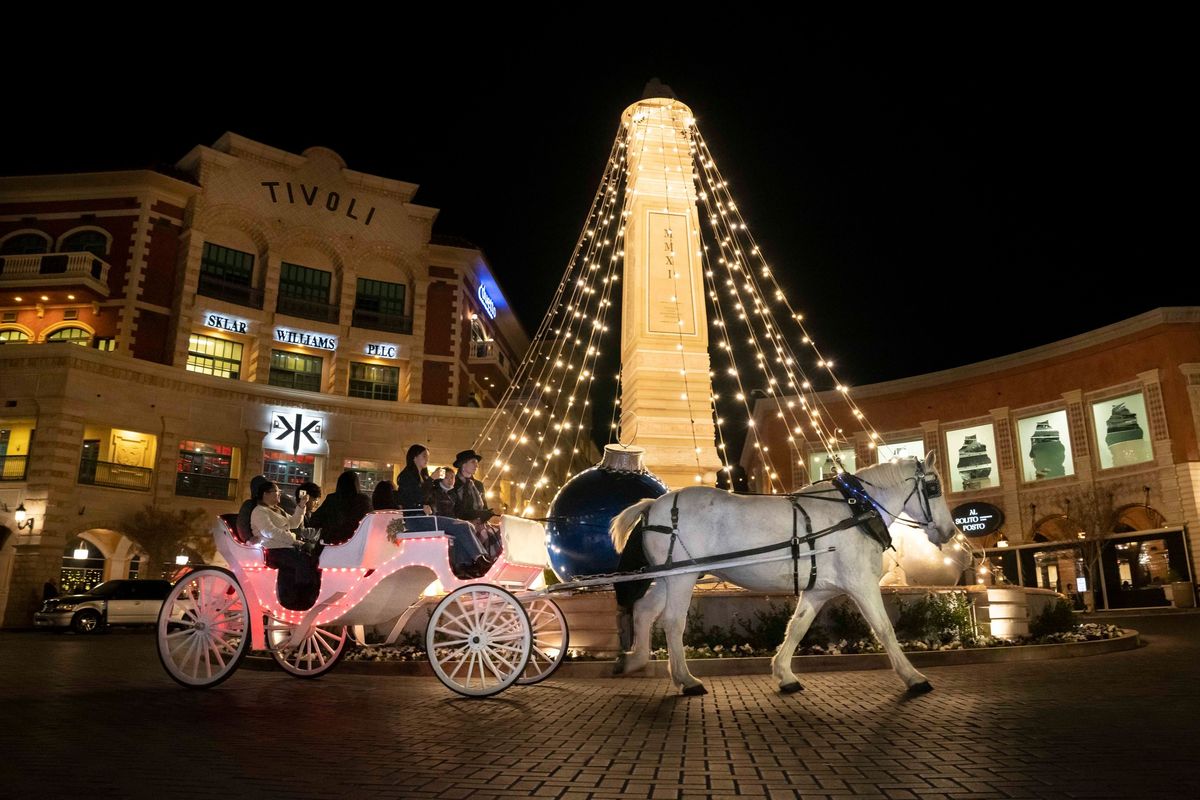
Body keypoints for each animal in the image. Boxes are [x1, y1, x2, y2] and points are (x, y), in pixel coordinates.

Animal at [609, 455, 955, 695]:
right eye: (933, 488)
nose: (950, 531)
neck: (853, 511)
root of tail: (653, 504)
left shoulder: (818, 590)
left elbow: (797, 627)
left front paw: (784, 674)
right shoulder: (861, 583)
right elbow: (884, 629)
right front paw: (914, 677)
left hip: (670, 577)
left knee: (644, 610)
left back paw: (634, 660)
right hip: (682, 577)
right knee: (672, 622)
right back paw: (686, 679)